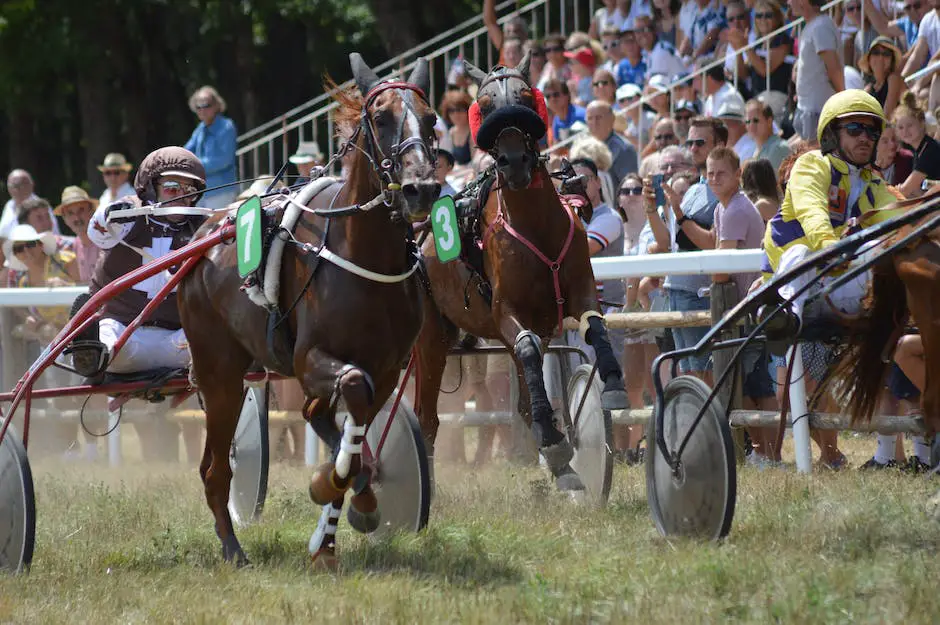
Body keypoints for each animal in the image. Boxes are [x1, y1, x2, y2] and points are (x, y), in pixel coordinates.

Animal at [177, 54, 440, 572]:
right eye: (381, 117)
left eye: (432, 118)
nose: (421, 188)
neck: (366, 256)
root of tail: (203, 236)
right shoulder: (309, 359)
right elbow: (353, 394)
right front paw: (331, 489)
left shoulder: (387, 366)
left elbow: (356, 433)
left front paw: (335, 531)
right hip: (220, 372)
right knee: (215, 470)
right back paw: (233, 548)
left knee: (312, 415)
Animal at [414, 53, 628, 490]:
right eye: (484, 106)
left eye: (527, 97)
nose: (514, 161)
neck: (536, 228)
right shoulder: (507, 312)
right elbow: (527, 346)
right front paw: (554, 440)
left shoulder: (578, 288)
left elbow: (595, 326)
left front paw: (612, 385)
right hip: (431, 338)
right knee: (426, 418)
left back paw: (563, 464)